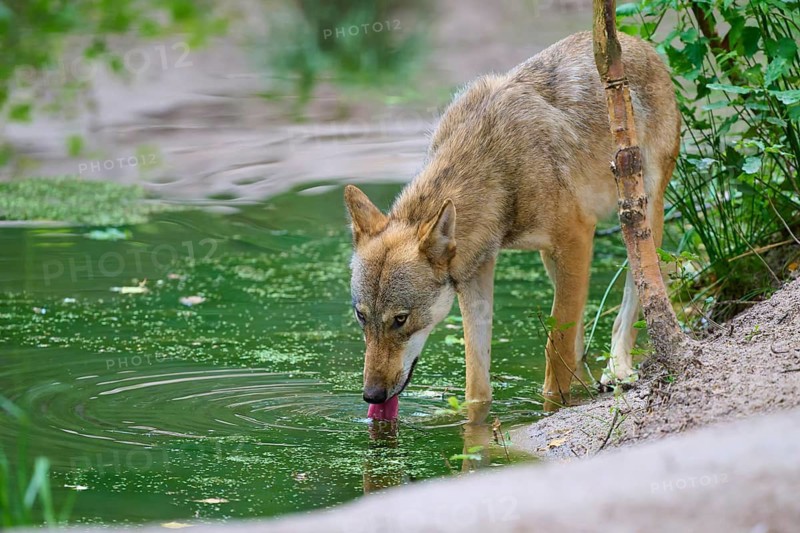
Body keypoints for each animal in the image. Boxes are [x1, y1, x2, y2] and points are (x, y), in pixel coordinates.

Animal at [345, 31, 679, 414]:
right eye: (361, 316)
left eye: (400, 319)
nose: (372, 396)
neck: (498, 169)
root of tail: (638, 42)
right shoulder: (476, 273)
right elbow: (477, 375)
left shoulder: (576, 238)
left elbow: (555, 347)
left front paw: (553, 406)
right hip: (553, 260)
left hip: (638, 219)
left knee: (635, 297)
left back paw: (618, 368)